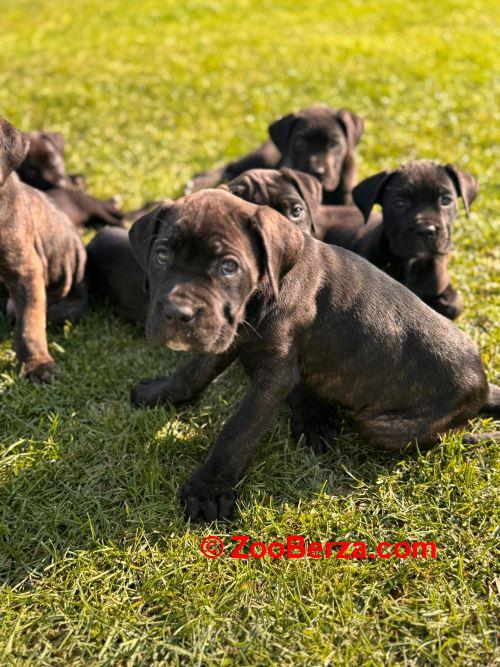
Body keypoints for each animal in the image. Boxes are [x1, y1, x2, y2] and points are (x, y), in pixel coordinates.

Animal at [130, 190, 500, 524]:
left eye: (228, 267)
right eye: (161, 255)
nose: (178, 314)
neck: (263, 293)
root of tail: (482, 383)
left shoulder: (274, 376)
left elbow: (239, 431)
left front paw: (209, 489)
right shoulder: (228, 335)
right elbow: (191, 373)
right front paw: (159, 394)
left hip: (383, 426)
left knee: (445, 435)